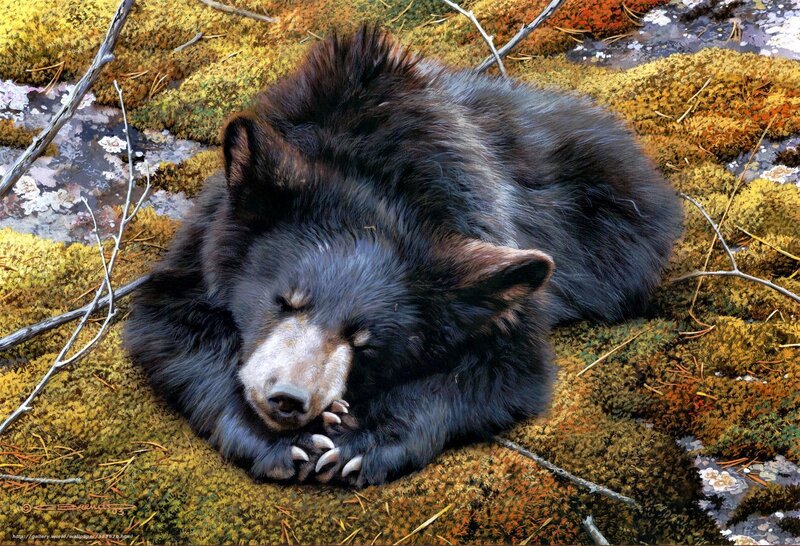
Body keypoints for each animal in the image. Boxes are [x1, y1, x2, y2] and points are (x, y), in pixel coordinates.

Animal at [123, 26, 682, 487]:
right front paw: (285, 444)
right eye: (284, 300)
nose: (288, 399)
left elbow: (505, 368)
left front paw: (358, 440)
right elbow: (169, 327)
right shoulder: (204, 240)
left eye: (364, 342)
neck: (379, 181)